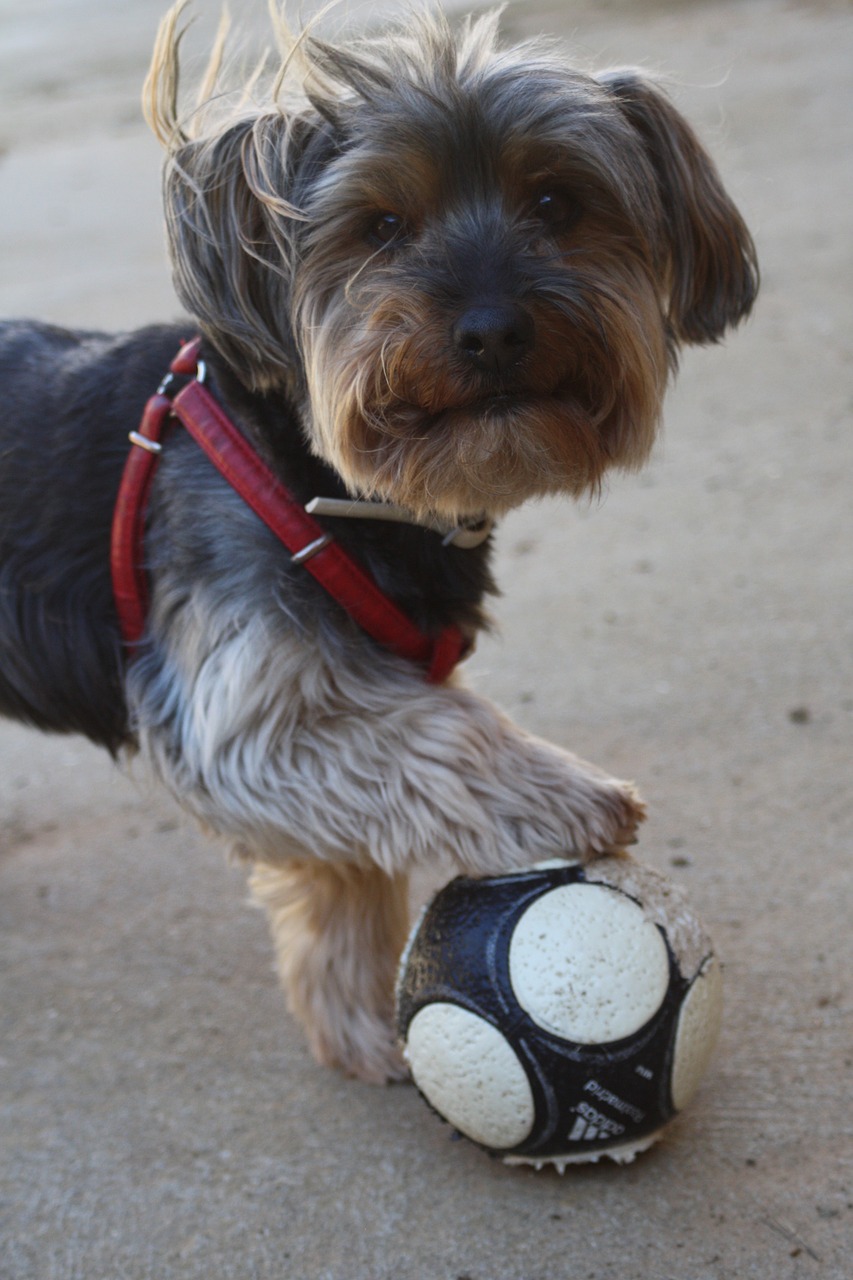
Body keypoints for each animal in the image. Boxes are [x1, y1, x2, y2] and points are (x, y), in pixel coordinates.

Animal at [1, 5, 758, 1080]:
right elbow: (434, 739)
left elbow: (345, 874)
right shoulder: (251, 702)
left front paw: (357, 1017)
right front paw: (560, 793)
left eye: (556, 200)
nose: (492, 329)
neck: (330, 488)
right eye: (382, 226)